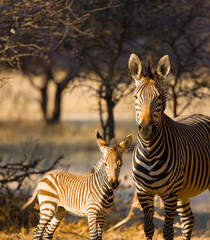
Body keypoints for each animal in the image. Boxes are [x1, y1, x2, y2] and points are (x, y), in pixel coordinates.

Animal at [128, 53, 210, 239]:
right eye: (135, 97)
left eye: (160, 97)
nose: (146, 129)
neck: (150, 152)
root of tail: (203, 114)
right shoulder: (143, 193)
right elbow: (149, 228)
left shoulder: (170, 194)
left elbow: (167, 231)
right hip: (184, 191)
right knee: (188, 220)